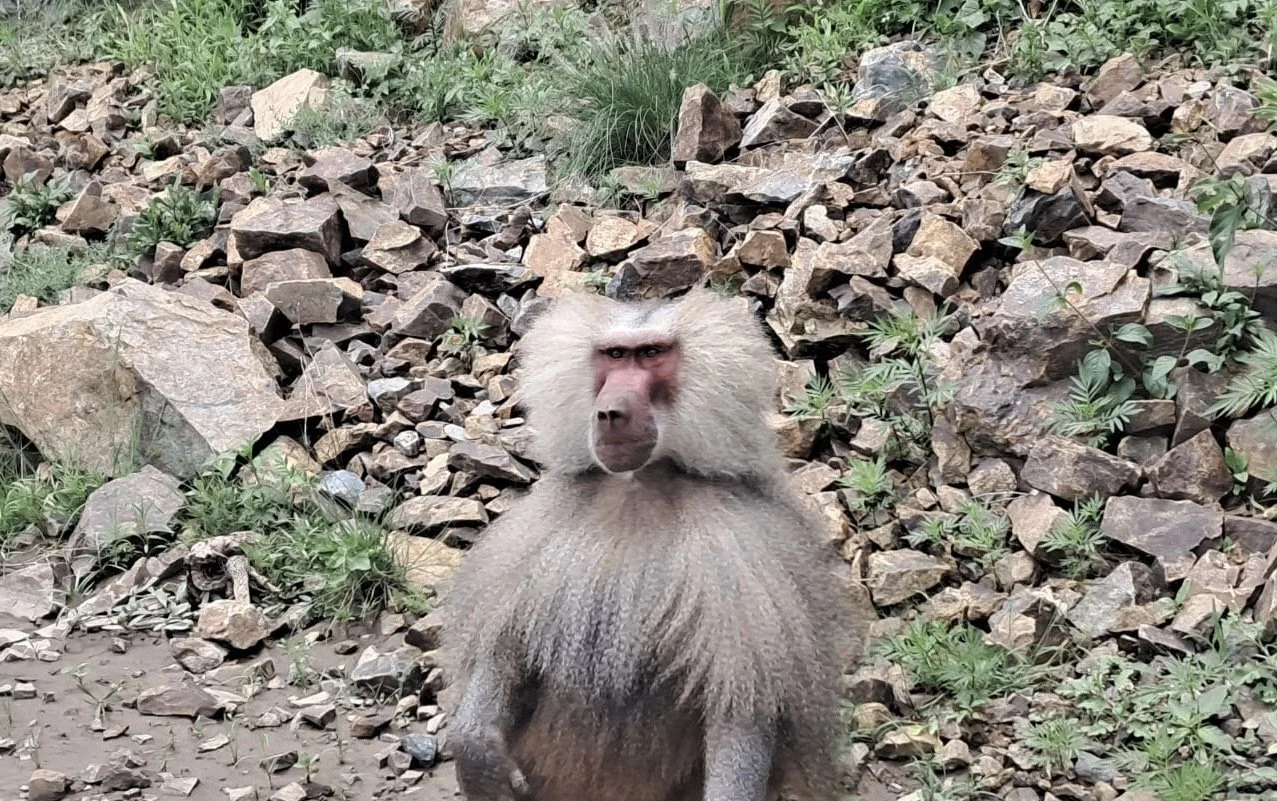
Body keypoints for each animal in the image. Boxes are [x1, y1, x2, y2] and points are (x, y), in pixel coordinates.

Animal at [440, 288, 860, 801]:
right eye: (615, 355)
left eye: (653, 354)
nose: (610, 413)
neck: (637, 485)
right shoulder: (547, 521)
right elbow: (508, 648)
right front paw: (474, 746)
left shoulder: (741, 543)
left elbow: (743, 710)